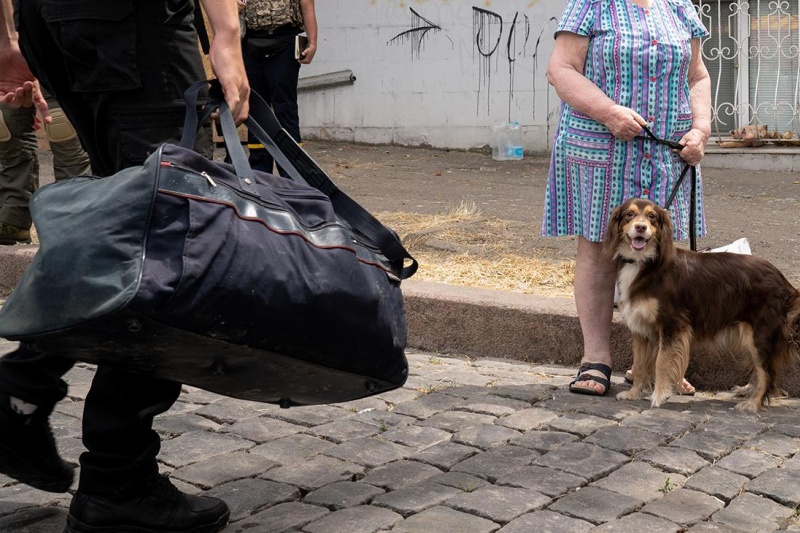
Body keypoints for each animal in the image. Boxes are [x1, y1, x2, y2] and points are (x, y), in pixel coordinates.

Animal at [604, 200, 796, 412]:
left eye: (652, 216)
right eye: (629, 214)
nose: (640, 227)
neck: (646, 262)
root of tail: (783, 281)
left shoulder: (672, 325)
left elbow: (661, 362)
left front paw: (659, 396)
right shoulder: (640, 329)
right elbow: (638, 364)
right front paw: (633, 393)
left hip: (760, 335)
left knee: (767, 372)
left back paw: (753, 403)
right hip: (749, 336)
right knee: (759, 369)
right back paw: (748, 390)